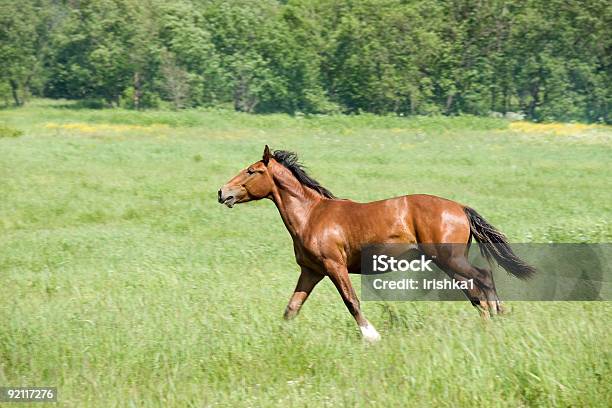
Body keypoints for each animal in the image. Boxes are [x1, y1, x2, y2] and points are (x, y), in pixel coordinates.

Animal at [218, 146, 532, 342]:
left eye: (251, 171)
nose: (222, 192)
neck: (311, 215)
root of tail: (460, 208)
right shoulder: (311, 271)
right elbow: (292, 308)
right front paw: (281, 337)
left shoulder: (334, 266)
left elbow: (351, 301)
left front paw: (372, 336)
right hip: (448, 263)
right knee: (475, 291)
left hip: (450, 259)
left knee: (483, 278)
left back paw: (497, 318)